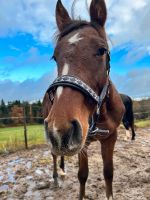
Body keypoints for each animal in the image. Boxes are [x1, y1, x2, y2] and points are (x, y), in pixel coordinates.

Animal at [42, 0, 124, 199]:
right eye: (54, 57)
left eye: (102, 50)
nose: (59, 130)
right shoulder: (82, 142)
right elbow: (82, 175)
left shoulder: (111, 137)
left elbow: (108, 172)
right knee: (54, 155)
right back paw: (56, 177)